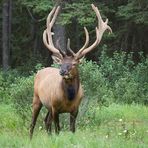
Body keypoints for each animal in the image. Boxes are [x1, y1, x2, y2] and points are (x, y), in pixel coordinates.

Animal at [29, 3, 111, 139]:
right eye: (61, 63)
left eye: (74, 64)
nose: (62, 72)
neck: (69, 98)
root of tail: (41, 71)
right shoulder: (55, 107)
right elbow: (58, 129)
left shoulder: (75, 109)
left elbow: (72, 129)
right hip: (37, 99)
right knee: (33, 123)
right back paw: (30, 139)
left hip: (48, 107)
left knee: (46, 121)